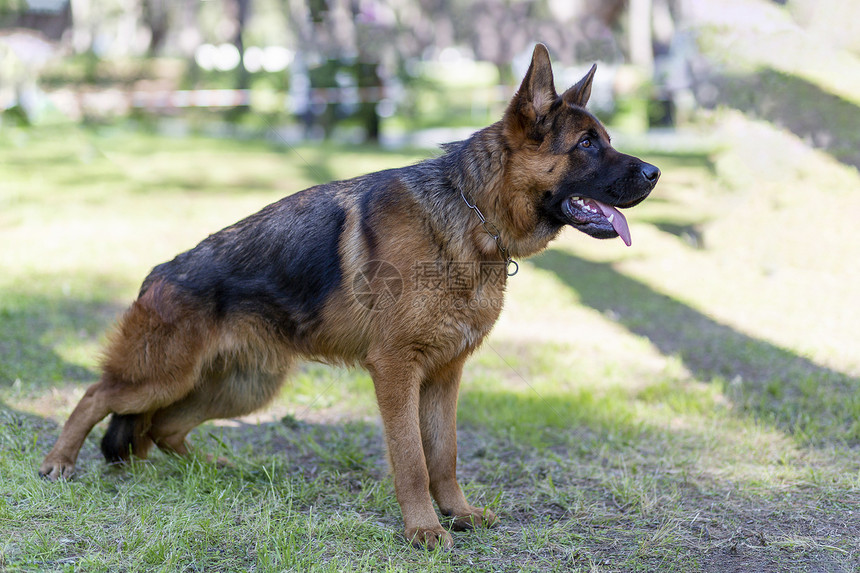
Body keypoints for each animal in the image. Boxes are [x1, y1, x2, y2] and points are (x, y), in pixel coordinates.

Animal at [40, 44, 660, 544]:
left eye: (607, 141)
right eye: (587, 144)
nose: (655, 173)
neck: (469, 216)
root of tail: (159, 273)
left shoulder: (445, 375)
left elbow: (445, 456)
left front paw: (458, 514)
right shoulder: (395, 370)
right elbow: (412, 461)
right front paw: (424, 530)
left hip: (241, 387)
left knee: (162, 428)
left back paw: (216, 471)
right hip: (162, 375)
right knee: (97, 395)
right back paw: (58, 463)